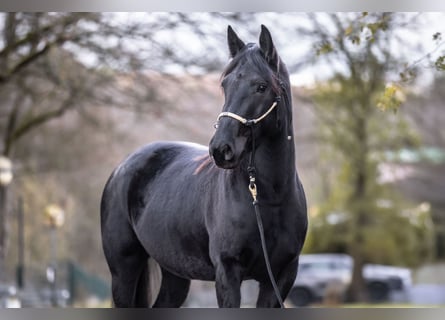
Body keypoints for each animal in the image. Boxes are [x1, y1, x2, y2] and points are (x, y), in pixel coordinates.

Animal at [100, 25, 306, 308]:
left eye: (261, 87)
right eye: (224, 84)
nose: (221, 149)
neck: (268, 197)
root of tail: (123, 167)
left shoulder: (281, 277)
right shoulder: (228, 273)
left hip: (174, 273)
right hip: (124, 269)